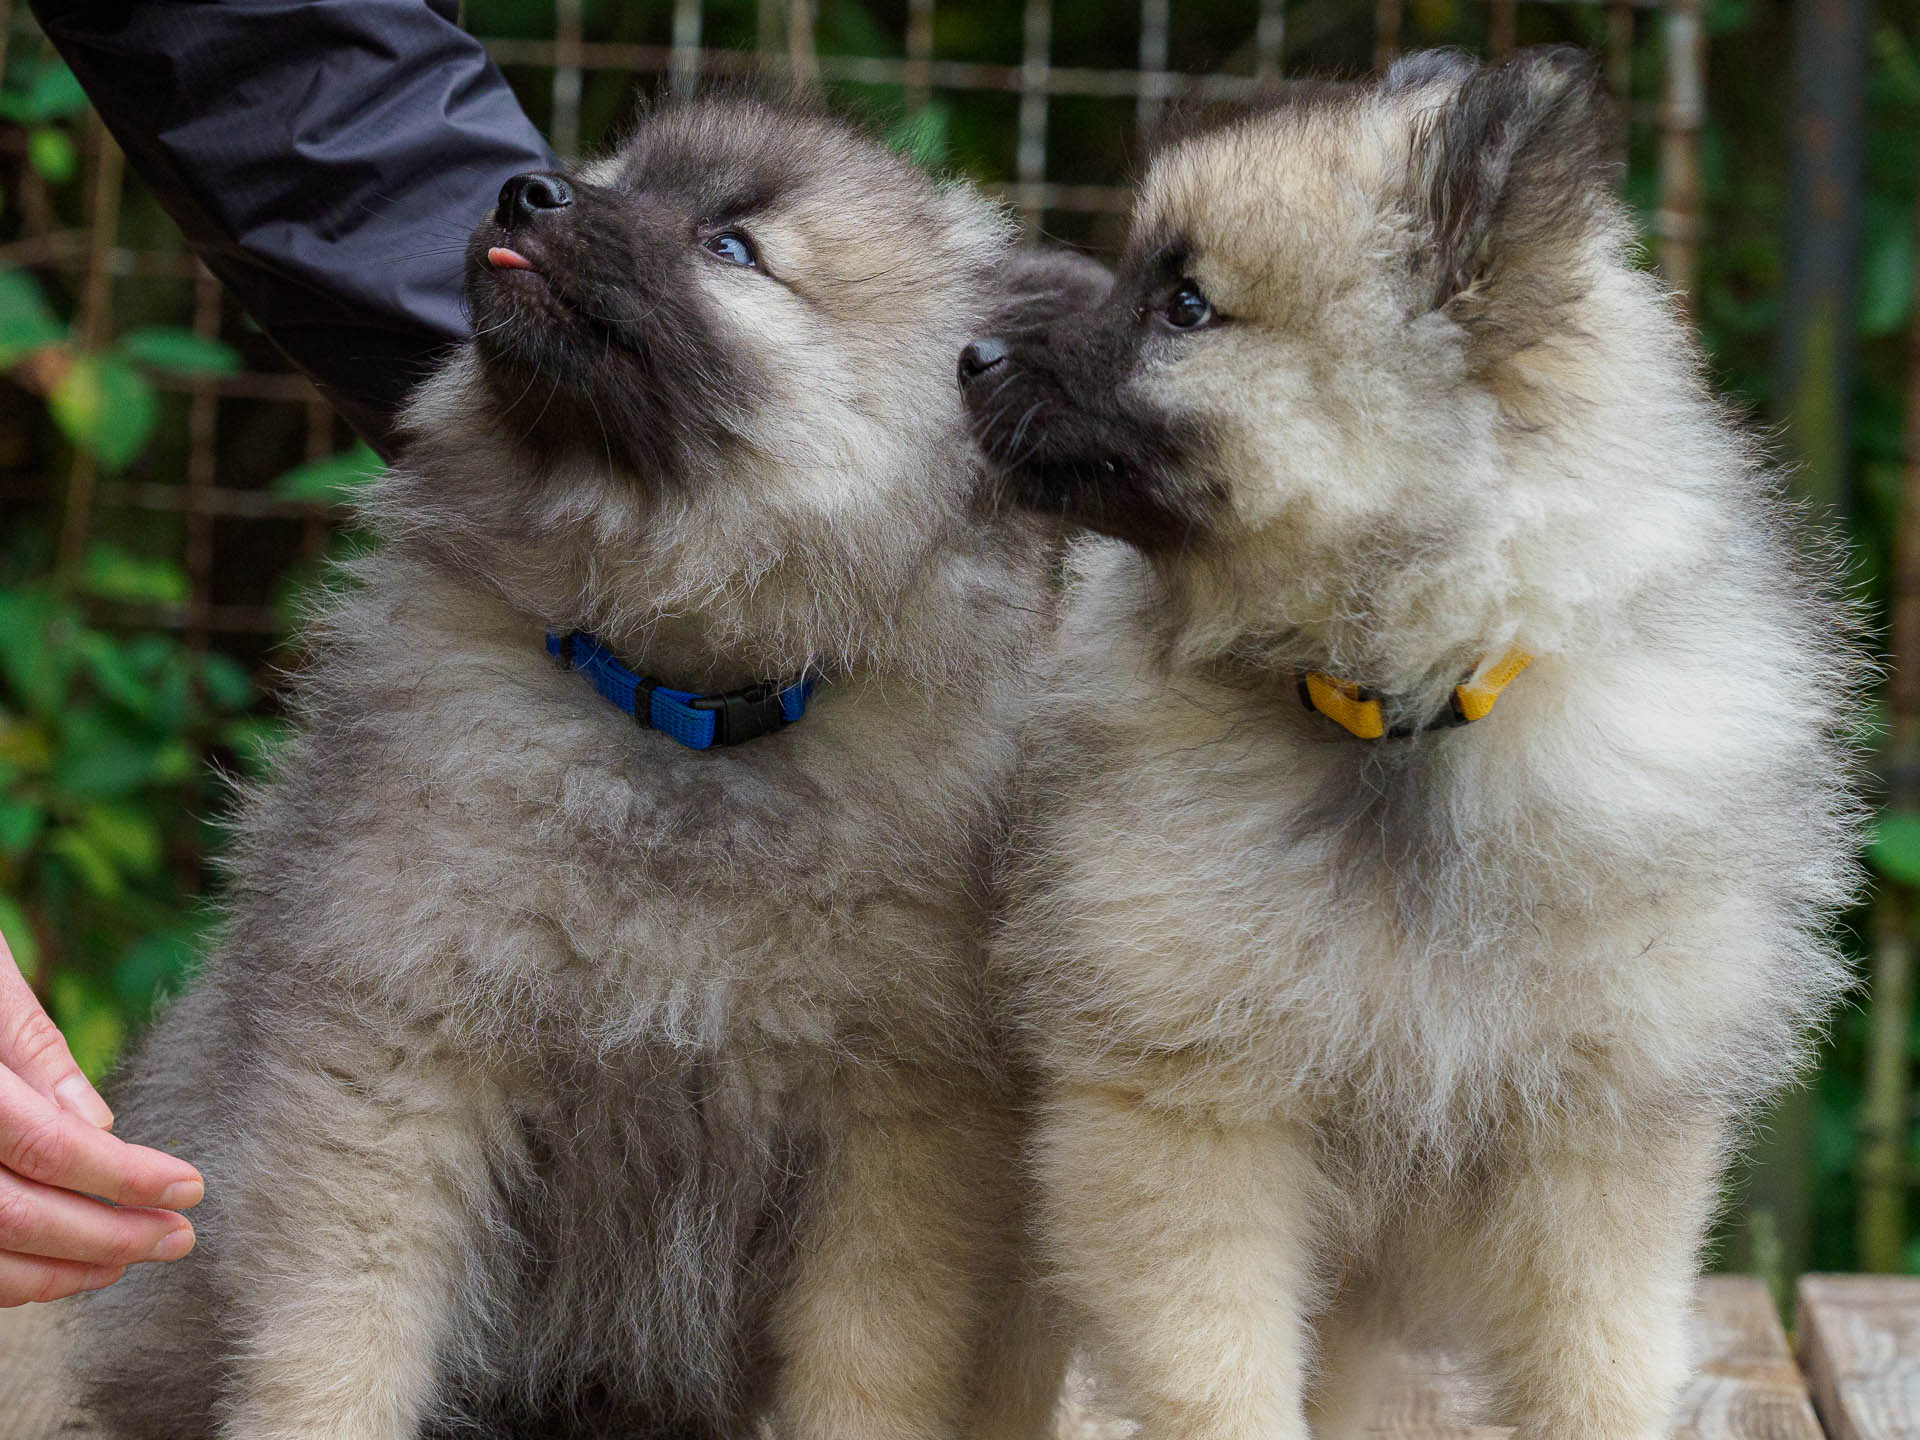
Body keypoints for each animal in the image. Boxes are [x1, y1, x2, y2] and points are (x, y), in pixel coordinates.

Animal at [74, 96, 1105, 1440]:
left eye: (733, 246)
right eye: (619, 175)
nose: (528, 191)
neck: (680, 710)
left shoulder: (896, 1133)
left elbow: (869, 1368)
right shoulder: (397, 1063)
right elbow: (338, 1342)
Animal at [960, 45, 1858, 1440]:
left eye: (1187, 307)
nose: (970, 355)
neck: (1403, 712)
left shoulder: (1599, 1145)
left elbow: (1594, 1367)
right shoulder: (1189, 1114)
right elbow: (1222, 1379)